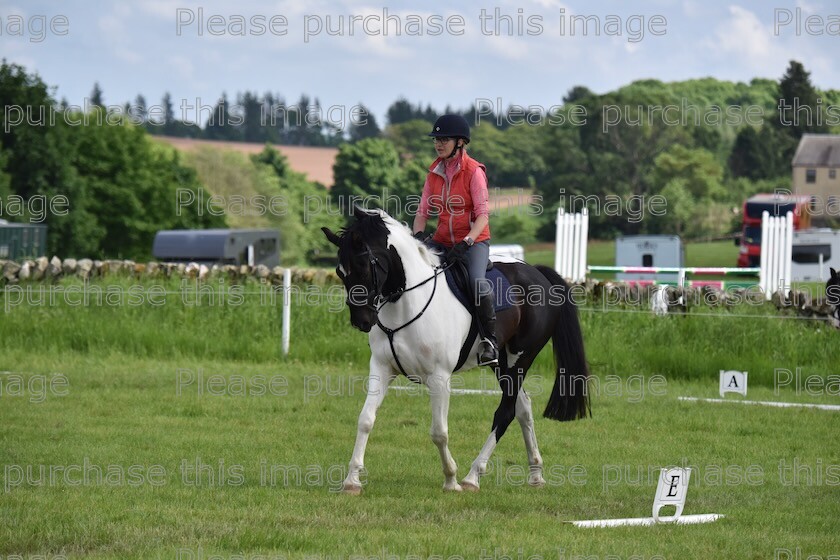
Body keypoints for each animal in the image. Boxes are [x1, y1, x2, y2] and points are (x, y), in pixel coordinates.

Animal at [322, 208, 592, 492]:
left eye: (364, 267)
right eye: (341, 272)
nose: (362, 321)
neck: (406, 301)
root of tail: (537, 273)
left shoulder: (439, 377)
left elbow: (439, 432)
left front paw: (450, 479)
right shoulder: (382, 368)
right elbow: (365, 419)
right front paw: (352, 480)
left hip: (520, 359)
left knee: (506, 412)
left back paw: (473, 476)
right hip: (501, 364)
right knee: (523, 408)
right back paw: (535, 473)